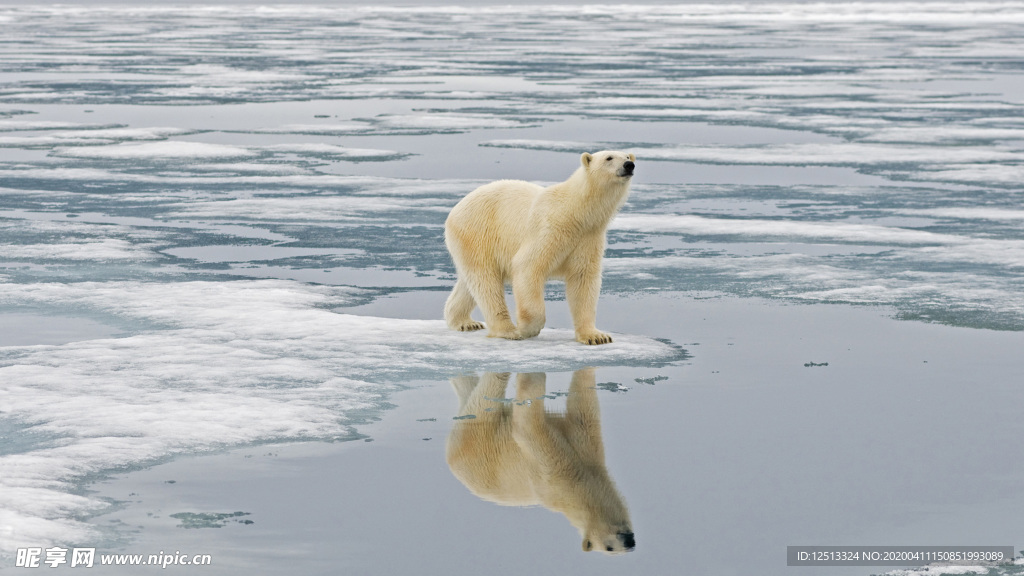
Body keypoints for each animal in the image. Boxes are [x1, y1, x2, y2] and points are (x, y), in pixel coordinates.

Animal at [446, 150, 634, 342]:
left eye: (627, 156)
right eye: (609, 158)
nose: (629, 165)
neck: (575, 212)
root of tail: (455, 209)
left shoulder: (589, 237)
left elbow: (583, 280)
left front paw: (596, 336)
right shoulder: (550, 229)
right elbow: (527, 267)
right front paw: (527, 329)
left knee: (470, 283)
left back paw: (465, 322)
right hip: (477, 233)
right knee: (486, 281)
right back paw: (508, 330)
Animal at [446, 366, 634, 553]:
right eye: (609, 548)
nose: (629, 542)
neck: (578, 484)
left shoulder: (584, 445)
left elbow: (581, 405)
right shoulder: (552, 472)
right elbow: (526, 426)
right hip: (478, 439)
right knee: (488, 395)